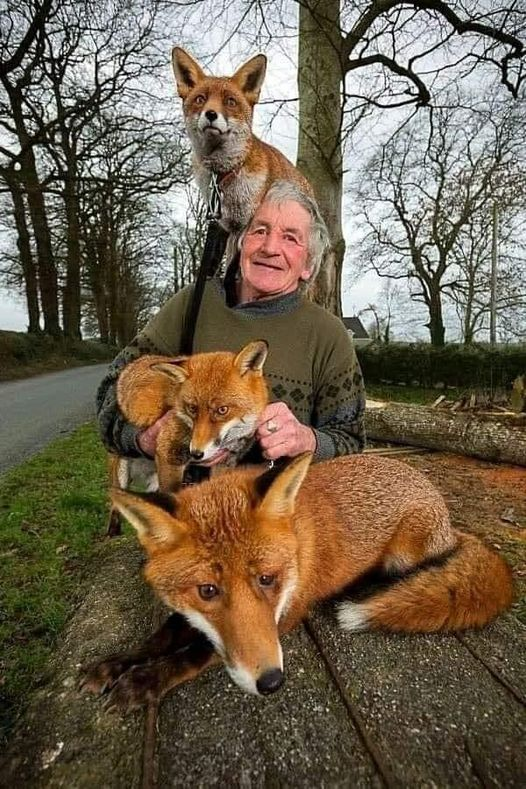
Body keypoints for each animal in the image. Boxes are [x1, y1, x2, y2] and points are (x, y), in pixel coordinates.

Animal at [82, 452, 516, 704]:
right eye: (207, 591)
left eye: (267, 579)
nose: (271, 682)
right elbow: (165, 636)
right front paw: (119, 664)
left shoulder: (288, 614)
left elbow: (198, 652)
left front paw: (146, 680)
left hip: (406, 552)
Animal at [109, 340, 270, 536]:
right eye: (192, 409)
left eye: (222, 410)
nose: (196, 453)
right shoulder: (170, 456)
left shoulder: (224, 464)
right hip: (121, 474)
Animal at [173, 46, 314, 232]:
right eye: (200, 99)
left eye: (230, 102)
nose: (211, 114)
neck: (224, 173)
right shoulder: (225, 225)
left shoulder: (248, 222)